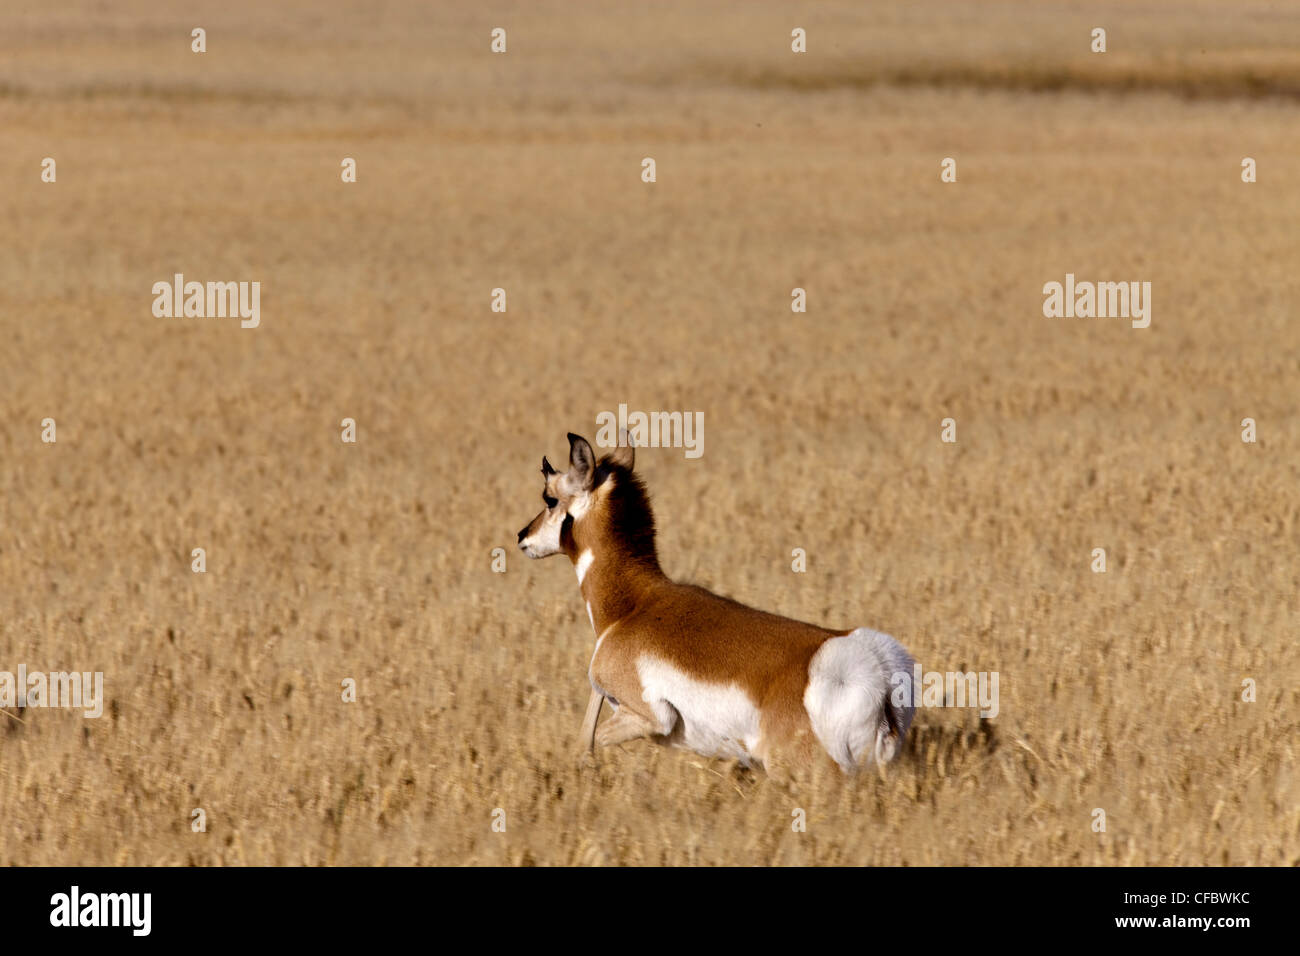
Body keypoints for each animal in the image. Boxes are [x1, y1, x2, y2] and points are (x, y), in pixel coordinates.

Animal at [512, 434, 920, 780]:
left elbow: (588, 743)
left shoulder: (652, 718)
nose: (521, 536)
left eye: (549, 498)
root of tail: (879, 672)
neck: (632, 606)